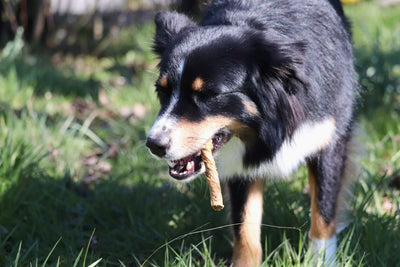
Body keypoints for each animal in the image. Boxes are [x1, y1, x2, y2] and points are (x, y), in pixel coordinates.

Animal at [145, 0, 358, 266]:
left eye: (209, 95)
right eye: (163, 91)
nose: (153, 144)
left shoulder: (329, 136)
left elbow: (323, 211)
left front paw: (320, 261)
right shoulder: (240, 164)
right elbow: (245, 224)